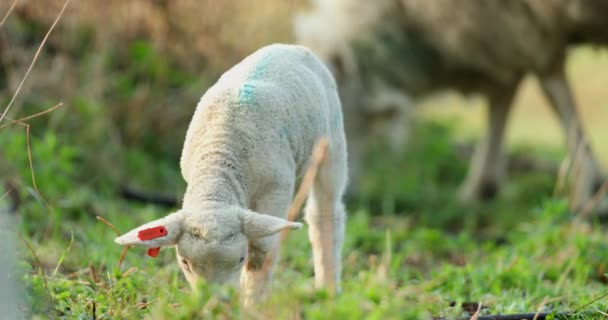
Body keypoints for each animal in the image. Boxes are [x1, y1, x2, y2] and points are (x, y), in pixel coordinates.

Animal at [114, 43, 346, 304]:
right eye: (184, 262)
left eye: (240, 260)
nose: (216, 301)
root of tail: (290, 47)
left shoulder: (277, 187)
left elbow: (262, 251)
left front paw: (252, 302)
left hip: (331, 139)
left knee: (325, 212)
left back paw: (328, 289)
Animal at [296, 0, 608, 211]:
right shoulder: (506, 28)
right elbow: (504, 91)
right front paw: (482, 185)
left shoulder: (532, 21)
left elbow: (552, 86)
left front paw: (588, 188)